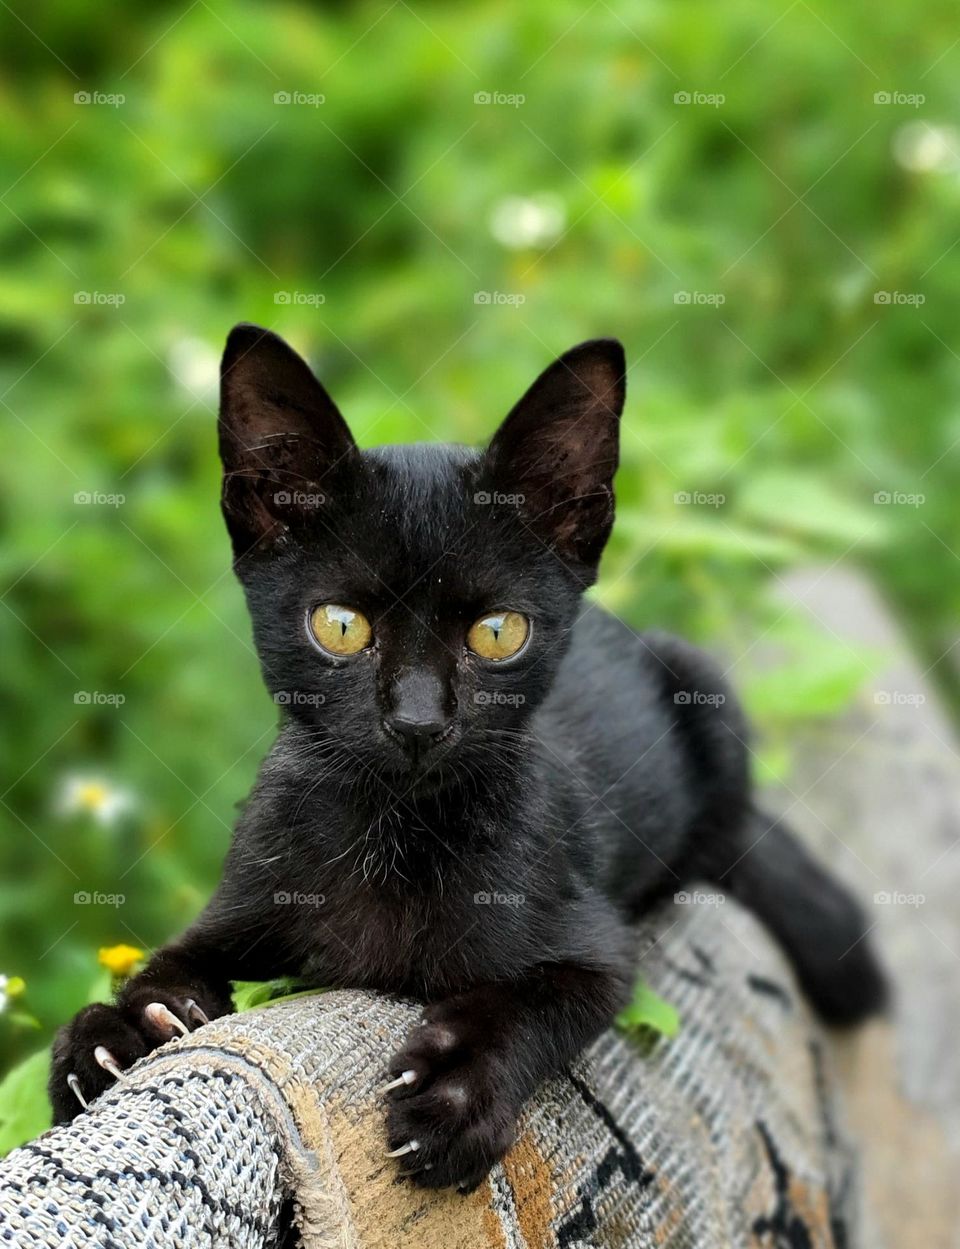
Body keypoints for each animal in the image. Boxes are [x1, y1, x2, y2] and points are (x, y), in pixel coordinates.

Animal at [46, 324, 883, 1189]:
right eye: (340, 624)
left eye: (498, 632)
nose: (418, 720)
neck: (397, 831)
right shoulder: (239, 903)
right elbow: (165, 962)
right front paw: (119, 1030)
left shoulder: (595, 945)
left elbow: (523, 1001)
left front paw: (453, 1091)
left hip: (704, 691)